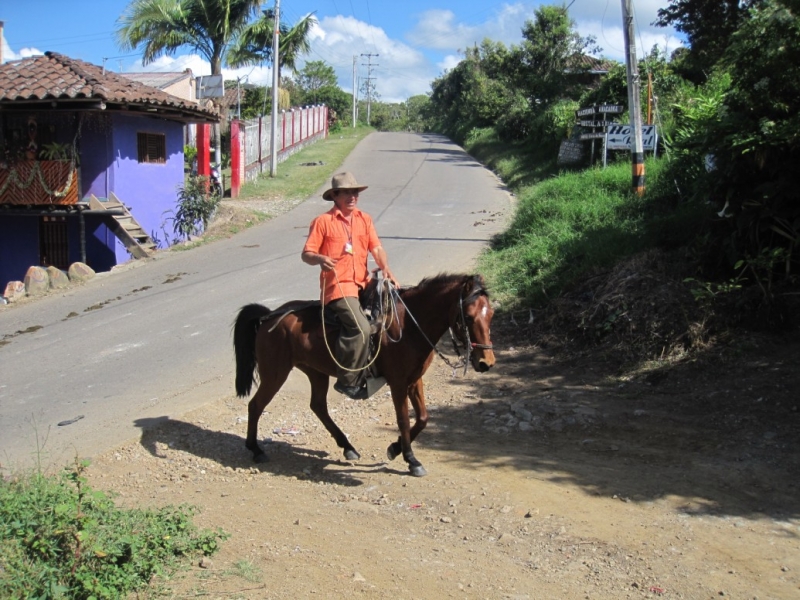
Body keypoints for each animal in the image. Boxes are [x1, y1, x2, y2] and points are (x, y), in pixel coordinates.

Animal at [231, 270, 494, 474]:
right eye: (468, 316)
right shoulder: (398, 383)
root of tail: (268, 316)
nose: (486, 362)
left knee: (318, 406)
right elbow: (403, 420)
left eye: (490, 314)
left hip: (316, 372)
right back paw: (255, 449)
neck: (407, 326)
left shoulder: (414, 380)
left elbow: (422, 418)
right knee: (256, 405)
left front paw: (396, 448)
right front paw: (410, 459)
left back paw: (347, 446)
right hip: (275, 373)